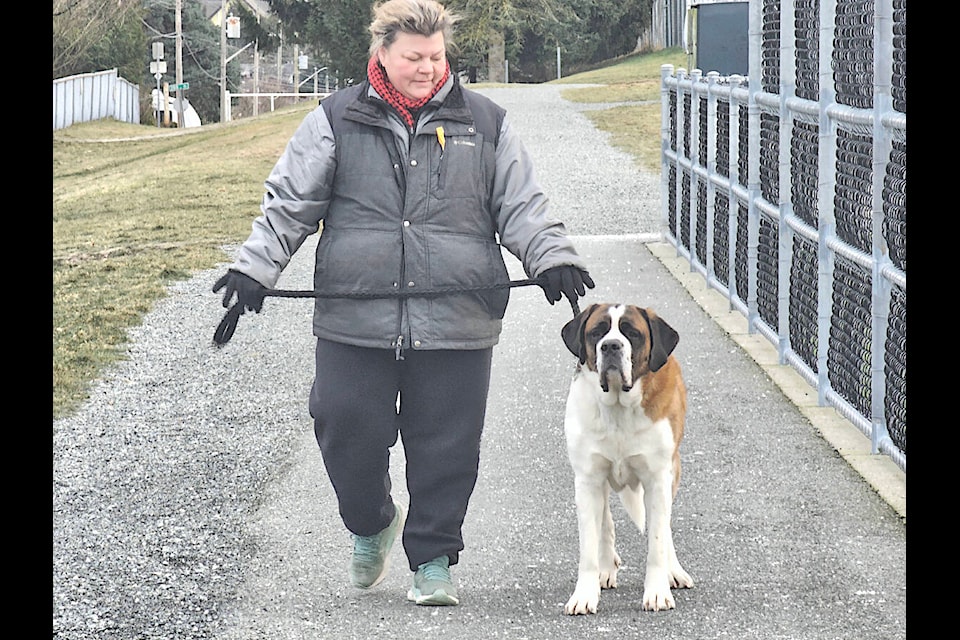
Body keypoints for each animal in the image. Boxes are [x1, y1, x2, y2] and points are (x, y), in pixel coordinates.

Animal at [560, 304, 692, 616]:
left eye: (632, 333)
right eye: (597, 332)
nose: (610, 345)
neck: (619, 407)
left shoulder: (658, 479)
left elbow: (657, 540)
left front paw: (657, 592)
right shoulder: (587, 481)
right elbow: (589, 545)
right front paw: (584, 595)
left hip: (671, 471)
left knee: (664, 527)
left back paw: (673, 572)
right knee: (605, 522)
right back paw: (607, 568)